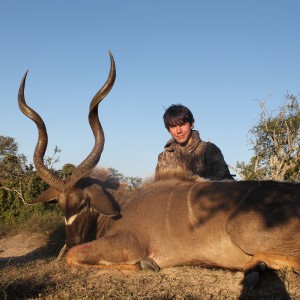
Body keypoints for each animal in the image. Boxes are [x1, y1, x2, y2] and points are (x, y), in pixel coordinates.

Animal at [18, 52, 300, 290]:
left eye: (85, 202)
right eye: (60, 205)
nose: (73, 240)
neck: (121, 205)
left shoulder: (130, 243)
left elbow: (75, 257)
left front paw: (145, 264)